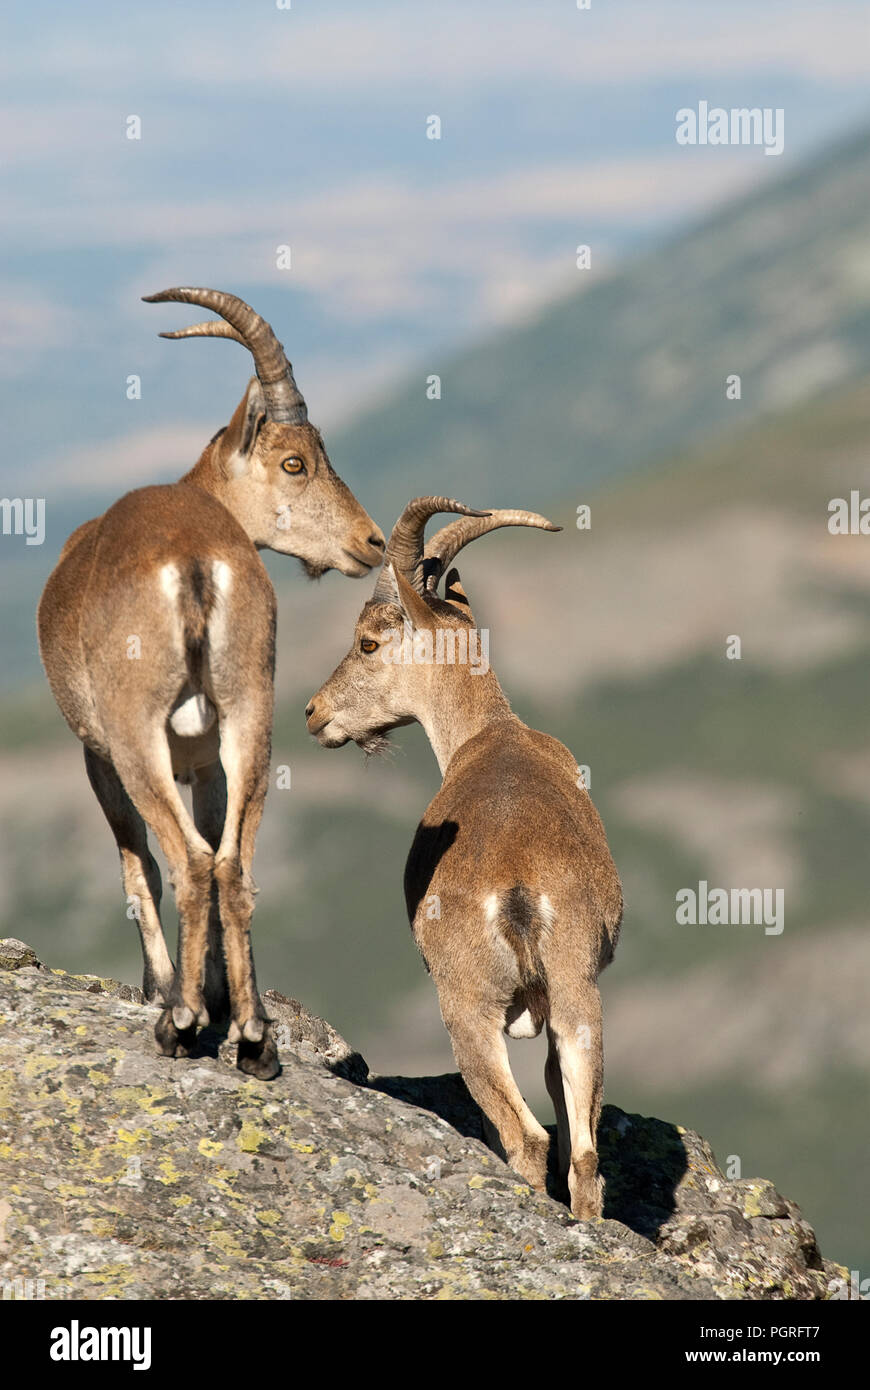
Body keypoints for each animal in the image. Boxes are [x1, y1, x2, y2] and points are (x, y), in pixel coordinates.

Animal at [38, 288, 385, 1079]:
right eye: (296, 461)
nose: (373, 542)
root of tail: (195, 559)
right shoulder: (204, 761)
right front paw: (226, 1001)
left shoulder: (98, 753)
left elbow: (138, 867)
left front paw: (166, 991)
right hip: (251, 710)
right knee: (234, 866)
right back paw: (254, 1039)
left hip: (136, 732)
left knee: (191, 863)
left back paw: (179, 1022)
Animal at [305, 498, 622, 1215]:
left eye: (368, 641)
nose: (313, 713)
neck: (488, 733)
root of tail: (518, 892)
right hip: (576, 991)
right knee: (584, 1154)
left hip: (466, 1006)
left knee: (526, 1136)